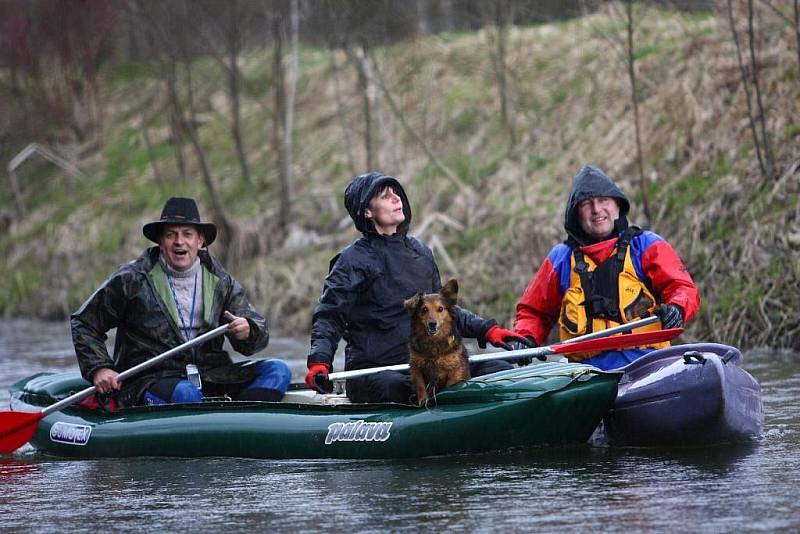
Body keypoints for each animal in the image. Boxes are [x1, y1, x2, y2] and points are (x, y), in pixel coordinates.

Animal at [404, 278, 472, 408]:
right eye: (424, 309)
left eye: (440, 309)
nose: (432, 324)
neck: (433, 343)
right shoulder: (415, 367)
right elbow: (420, 385)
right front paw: (423, 401)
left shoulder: (455, 370)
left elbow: (451, 386)